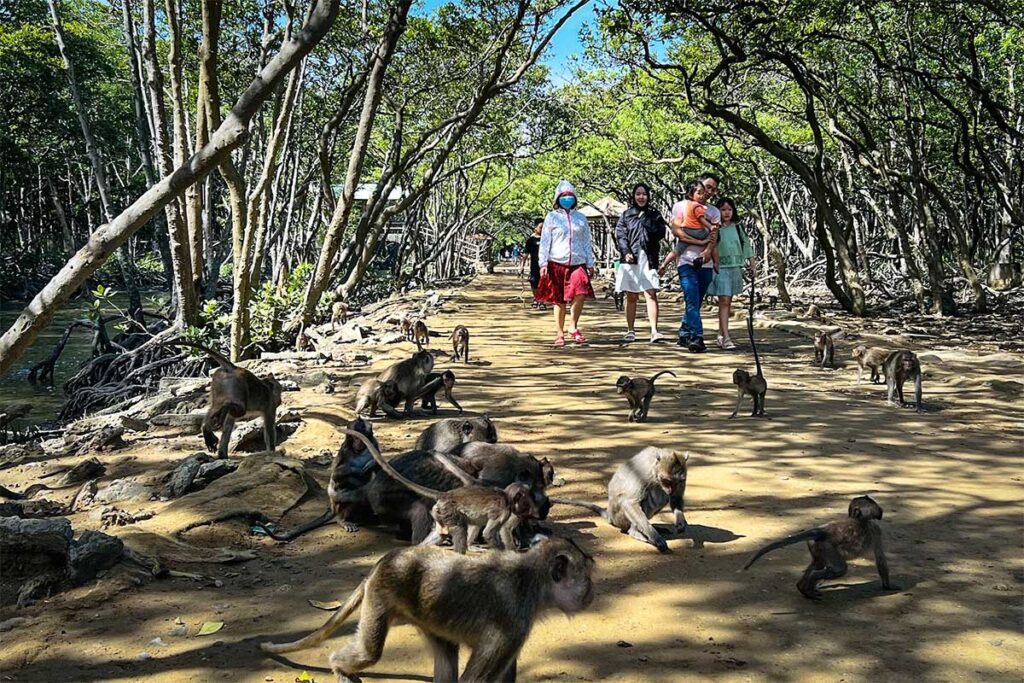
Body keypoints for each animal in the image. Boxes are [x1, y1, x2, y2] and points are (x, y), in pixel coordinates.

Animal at [259, 537, 595, 682]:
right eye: (587, 577)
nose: (591, 592)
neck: (534, 581)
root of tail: (386, 559)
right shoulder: (513, 622)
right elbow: (475, 681)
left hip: (421, 615)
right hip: (382, 593)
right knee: (369, 652)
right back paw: (340, 668)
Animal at [347, 429, 536, 552]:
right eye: (526, 498)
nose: (531, 507)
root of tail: (446, 495)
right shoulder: (503, 509)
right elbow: (491, 533)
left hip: (440, 512)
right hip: (438, 509)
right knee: (456, 527)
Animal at [553, 447, 688, 553]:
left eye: (678, 482)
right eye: (667, 481)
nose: (671, 490)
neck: (654, 467)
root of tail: (610, 516)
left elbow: (676, 498)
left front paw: (680, 522)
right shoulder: (644, 473)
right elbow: (630, 503)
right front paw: (655, 537)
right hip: (619, 517)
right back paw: (635, 532)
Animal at [730, 276, 767, 418]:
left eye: (738, 376)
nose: (733, 381)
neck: (744, 382)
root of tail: (760, 376)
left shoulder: (749, 387)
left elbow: (755, 396)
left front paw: (753, 413)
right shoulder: (741, 388)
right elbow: (739, 400)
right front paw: (733, 414)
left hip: (764, 387)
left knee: (761, 397)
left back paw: (760, 412)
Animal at [742, 495, 897, 599]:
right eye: (873, 505)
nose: (880, 510)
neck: (859, 519)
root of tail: (823, 531)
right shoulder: (875, 530)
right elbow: (881, 560)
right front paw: (888, 587)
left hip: (816, 545)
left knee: (818, 562)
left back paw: (803, 587)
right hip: (828, 547)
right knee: (839, 569)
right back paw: (811, 582)